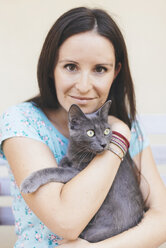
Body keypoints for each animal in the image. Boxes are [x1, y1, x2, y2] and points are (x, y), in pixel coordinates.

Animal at [20, 100, 144, 242]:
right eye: (90, 133)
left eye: (106, 131)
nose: (103, 144)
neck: (80, 152)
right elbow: (65, 160)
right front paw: (64, 161)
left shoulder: (78, 173)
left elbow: (54, 171)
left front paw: (28, 183)